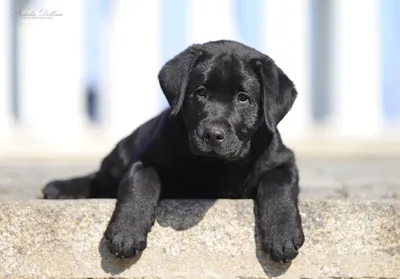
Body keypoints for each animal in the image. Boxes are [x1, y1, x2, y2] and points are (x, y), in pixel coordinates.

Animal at [42, 40, 304, 264]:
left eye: (243, 98)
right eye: (200, 92)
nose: (212, 134)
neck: (216, 165)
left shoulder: (283, 160)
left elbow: (278, 187)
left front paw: (282, 234)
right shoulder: (144, 160)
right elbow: (141, 182)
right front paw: (126, 230)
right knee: (97, 179)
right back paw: (60, 188)